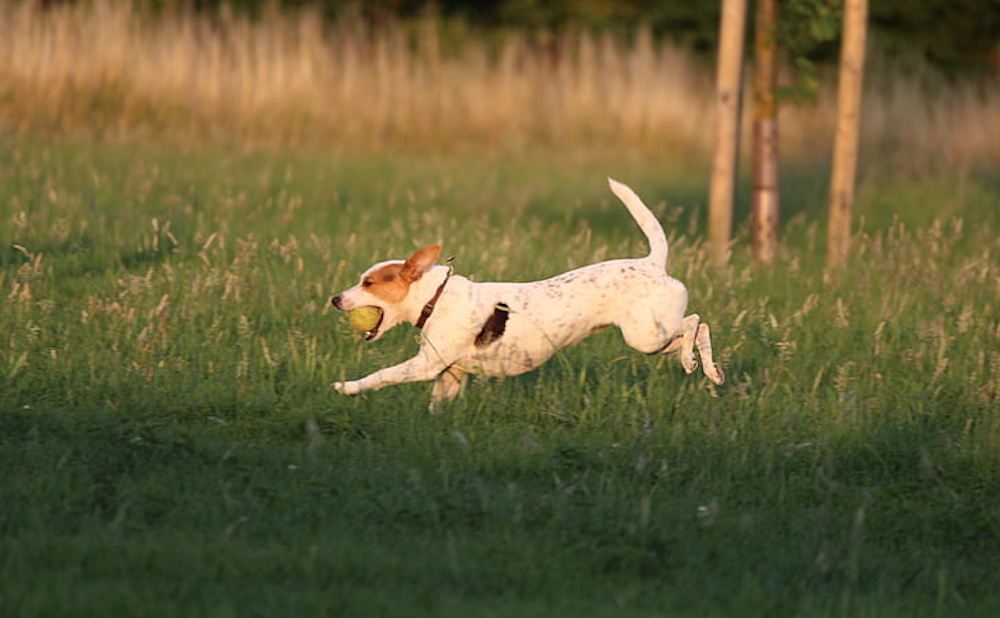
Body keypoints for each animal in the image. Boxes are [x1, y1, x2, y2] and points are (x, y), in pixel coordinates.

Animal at [332, 176, 724, 406]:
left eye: (368, 283)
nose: (335, 299)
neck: (436, 297)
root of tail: (653, 262)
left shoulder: (425, 366)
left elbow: (381, 376)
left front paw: (346, 387)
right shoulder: (450, 375)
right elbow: (437, 406)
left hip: (645, 336)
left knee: (694, 321)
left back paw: (691, 361)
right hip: (650, 339)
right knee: (697, 329)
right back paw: (709, 370)